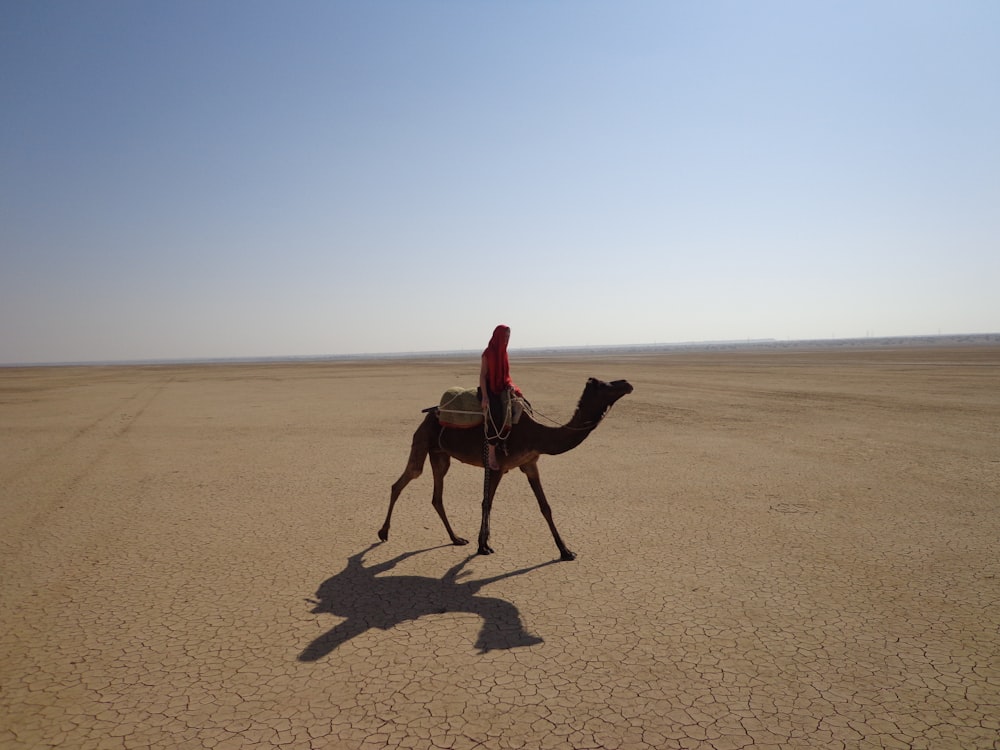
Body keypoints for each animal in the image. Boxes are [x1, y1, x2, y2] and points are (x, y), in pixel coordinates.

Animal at [376, 378, 632, 560]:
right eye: (605, 385)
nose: (627, 384)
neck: (537, 434)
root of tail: (433, 411)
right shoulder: (497, 465)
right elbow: (486, 502)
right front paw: (483, 546)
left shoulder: (530, 463)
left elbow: (545, 506)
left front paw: (566, 551)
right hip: (422, 441)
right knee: (405, 479)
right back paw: (383, 533)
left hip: (440, 455)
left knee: (436, 496)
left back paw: (456, 538)